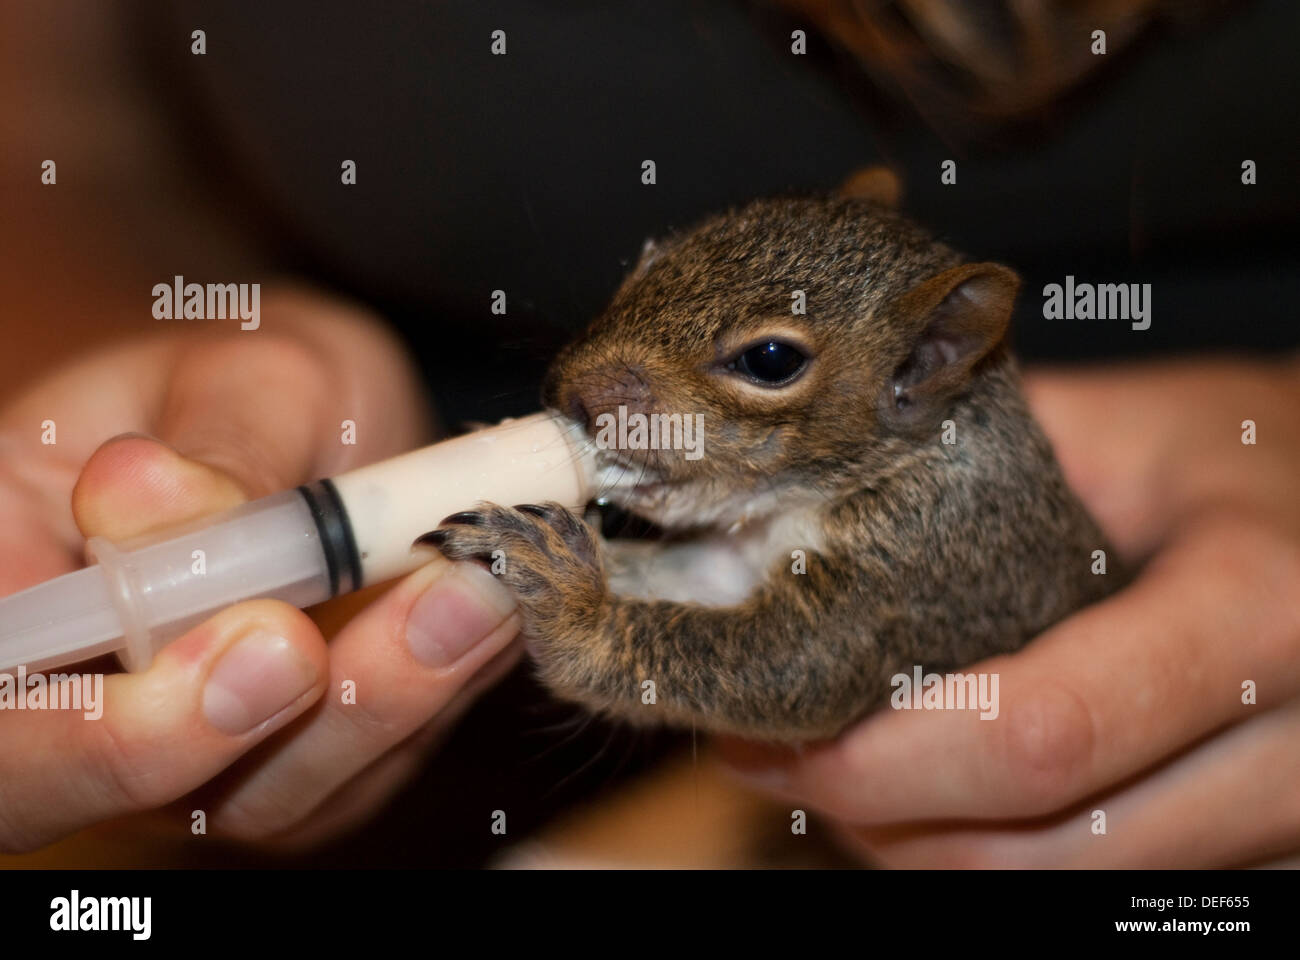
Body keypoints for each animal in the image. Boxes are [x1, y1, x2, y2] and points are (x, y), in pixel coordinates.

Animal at [419, 171, 1123, 742]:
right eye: (646, 264)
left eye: (771, 360)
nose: (570, 393)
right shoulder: (727, 563)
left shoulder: (915, 572)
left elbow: (790, 667)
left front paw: (572, 601)